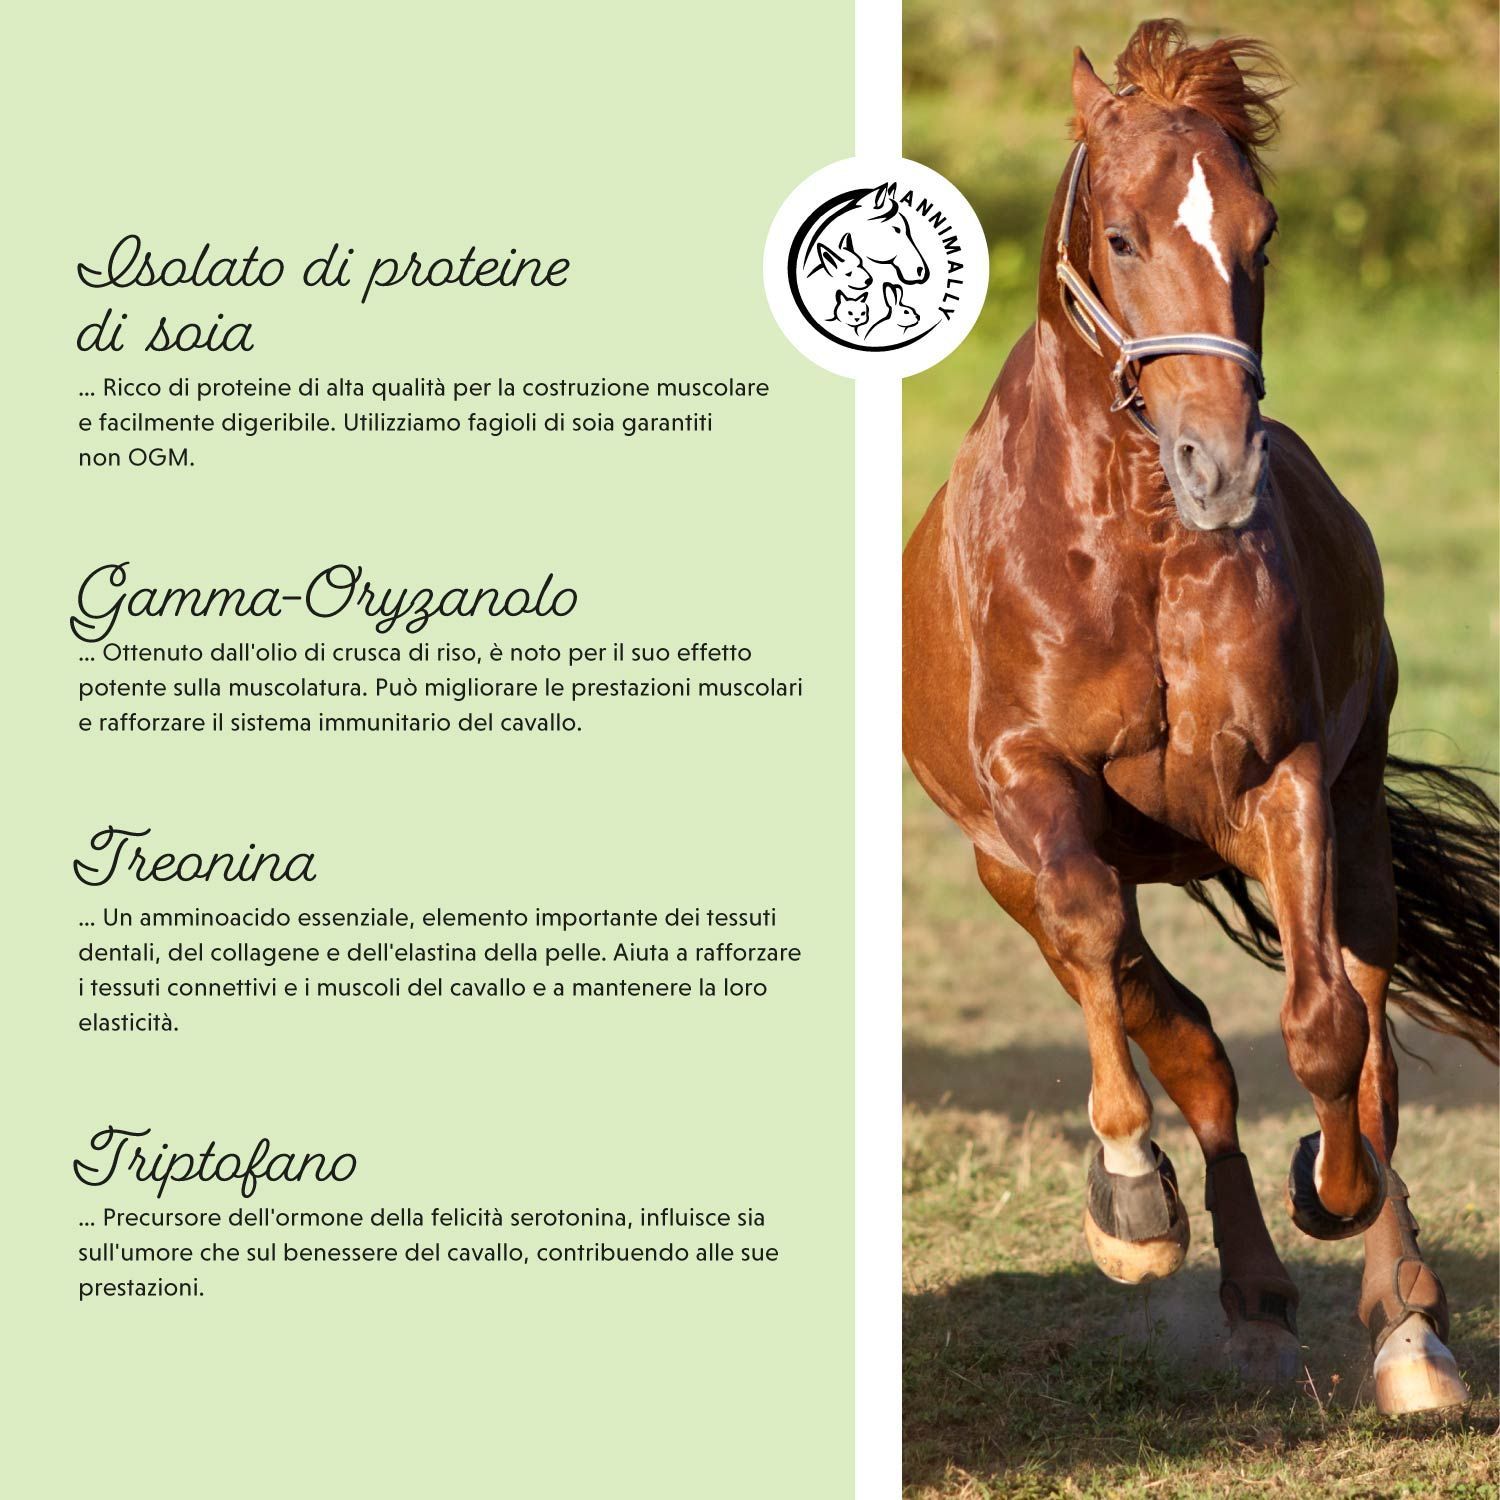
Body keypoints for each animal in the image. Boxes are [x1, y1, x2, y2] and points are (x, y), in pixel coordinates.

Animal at [902, 19, 1498, 1416]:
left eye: (1261, 233)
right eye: (1121, 236)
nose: (1221, 469)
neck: (1132, 539)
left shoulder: (1284, 780)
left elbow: (1328, 1031)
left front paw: (1335, 1201)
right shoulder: (1028, 790)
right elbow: (1111, 959)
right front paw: (1129, 1203)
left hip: (1349, 825)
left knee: (1364, 1030)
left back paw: (1403, 1321)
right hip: (1012, 865)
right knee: (1178, 1036)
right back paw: (1251, 1299)